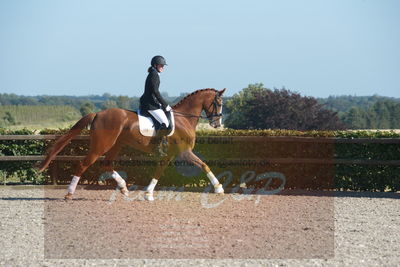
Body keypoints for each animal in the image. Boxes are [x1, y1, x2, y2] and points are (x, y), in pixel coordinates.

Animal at [39, 88, 227, 201]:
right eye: (218, 103)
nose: (217, 124)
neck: (184, 119)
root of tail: (98, 113)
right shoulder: (184, 152)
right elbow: (204, 165)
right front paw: (219, 188)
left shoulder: (170, 154)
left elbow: (159, 170)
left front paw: (148, 193)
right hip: (101, 145)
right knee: (83, 164)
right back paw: (69, 194)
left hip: (116, 145)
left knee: (107, 164)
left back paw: (123, 188)